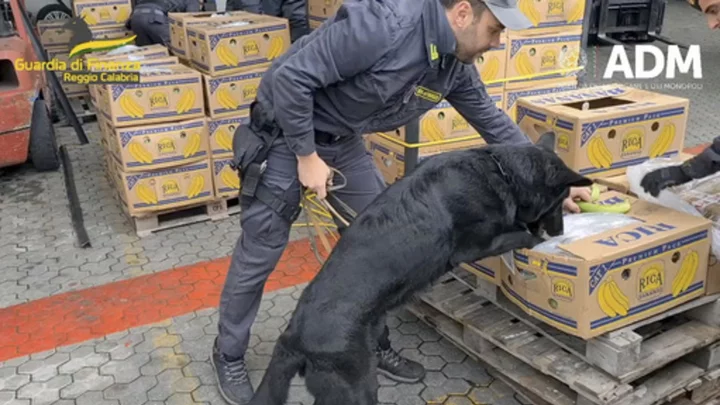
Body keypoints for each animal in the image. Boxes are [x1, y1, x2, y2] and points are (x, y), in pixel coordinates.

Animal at [248, 133, 592, 404]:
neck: (502, 171)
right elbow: (523, 233)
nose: (561, 231)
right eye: (559, 201)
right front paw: (540, 238)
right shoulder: (477, 245)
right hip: (357, 388)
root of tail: (293, 336)